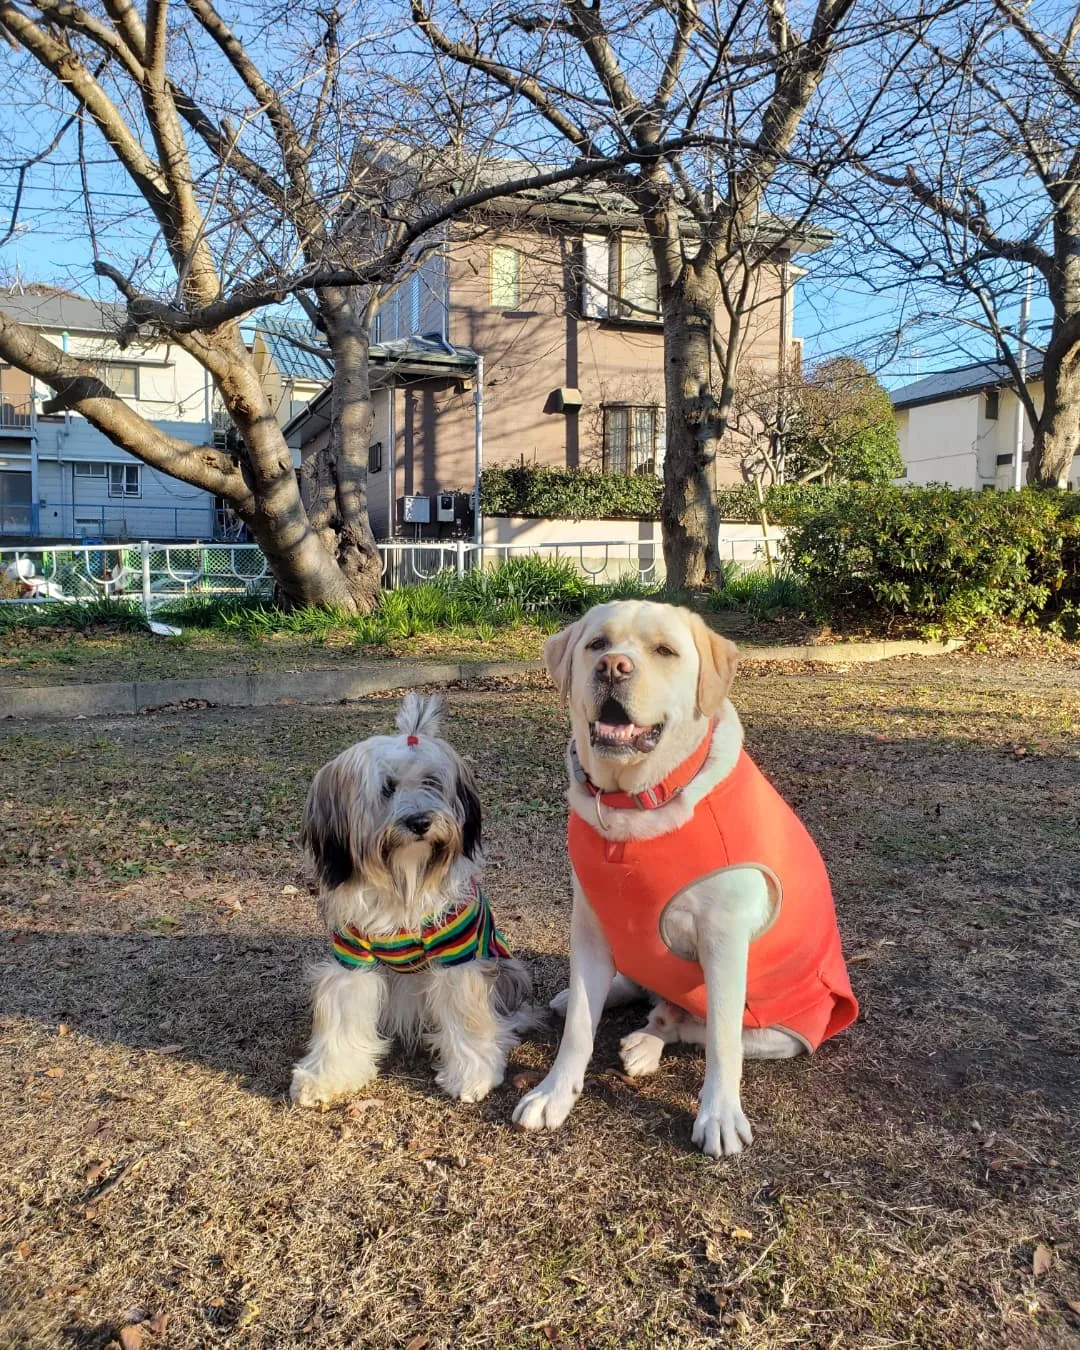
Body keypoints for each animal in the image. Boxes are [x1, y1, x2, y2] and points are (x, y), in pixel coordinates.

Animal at [291, 696, 534, 1107]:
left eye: (432, 783)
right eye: (386, 788)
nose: (420, 822)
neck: (404, 880)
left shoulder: (456, 956)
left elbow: (467, 1017)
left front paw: (473, 1075)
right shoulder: (352, 959)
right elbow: (341, 1018)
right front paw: (327, 1077)